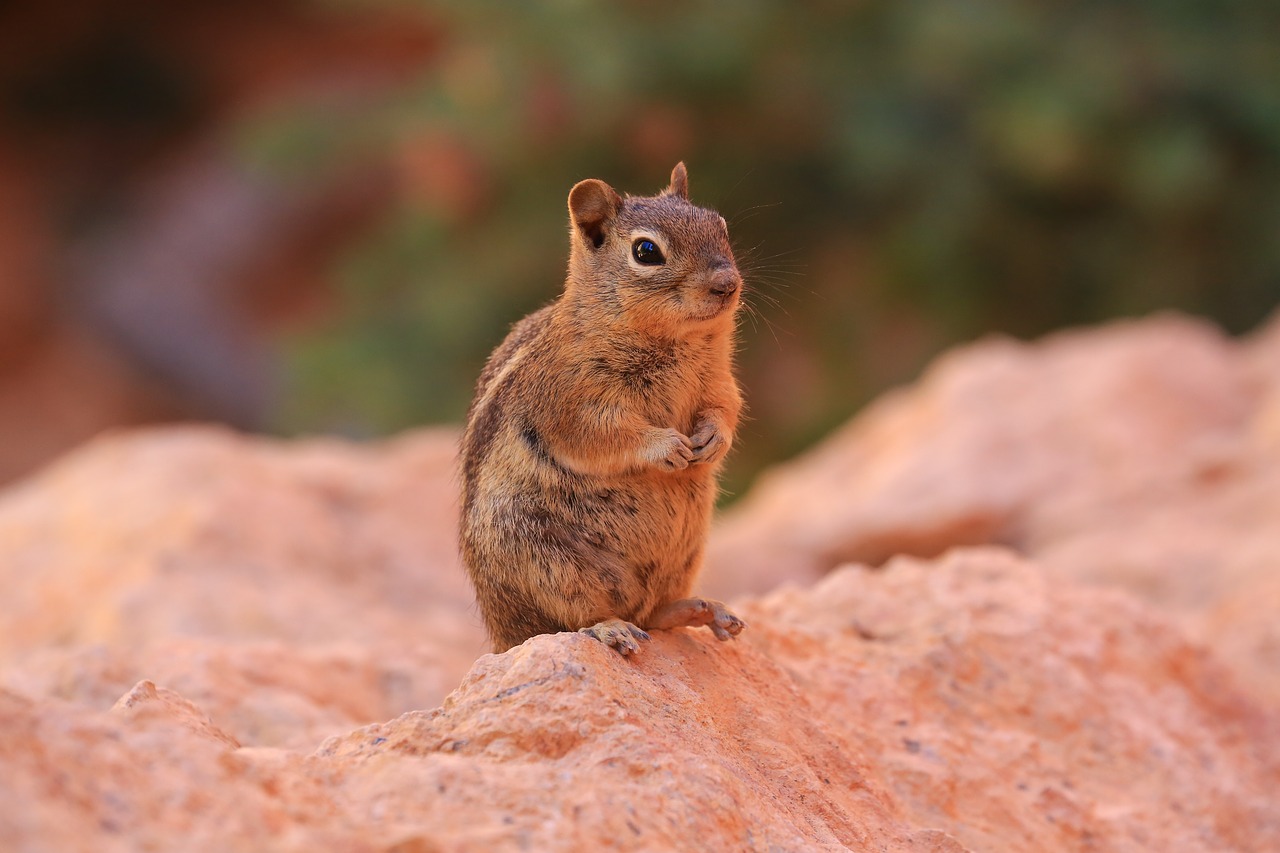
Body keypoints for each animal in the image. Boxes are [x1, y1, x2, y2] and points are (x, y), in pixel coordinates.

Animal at [460, 162, 747, 653]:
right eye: (646, 251)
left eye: (721, 225)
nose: (726, 284)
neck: (677, 342)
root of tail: (502, 635)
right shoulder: (569, 402)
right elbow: (601, 435)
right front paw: (666, 446)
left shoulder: (718, 381)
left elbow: (725, 407)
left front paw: (712, 440)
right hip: (548, 561)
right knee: (573, 621)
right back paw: (611, 628)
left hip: (685, 552)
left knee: (652, 613)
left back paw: (702, 609)